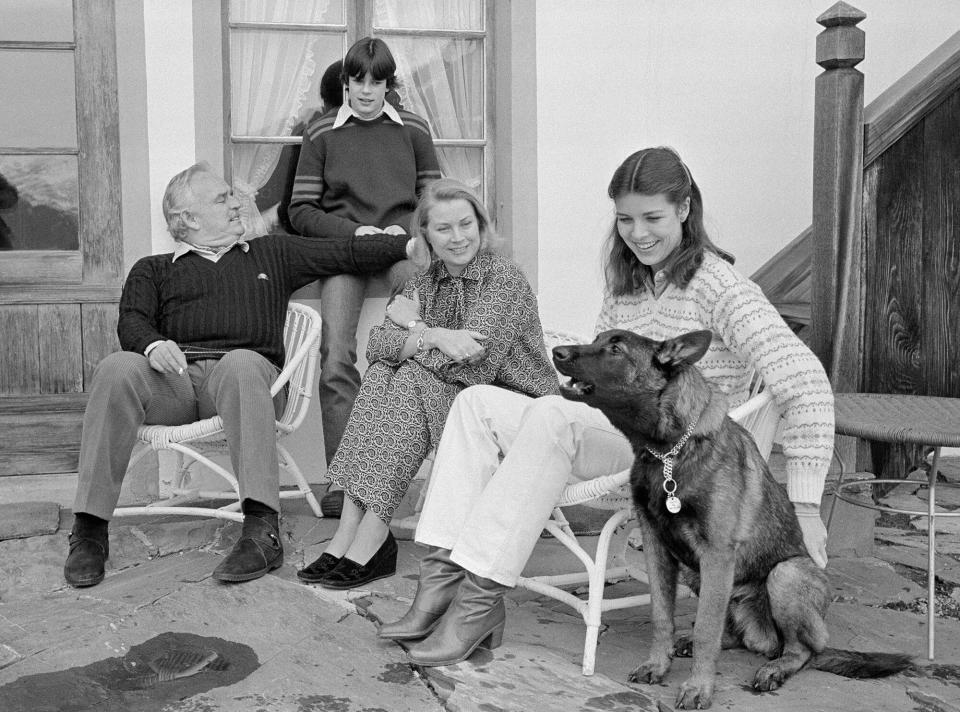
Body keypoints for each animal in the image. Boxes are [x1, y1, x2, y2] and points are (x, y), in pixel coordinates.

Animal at [552, 330, 912, 708]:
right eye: (599, 340)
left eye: (615, 349)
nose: (556, 352)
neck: (669, 454)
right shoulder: (657, 548)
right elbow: (662, 617)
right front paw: (658, 664)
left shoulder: (716, 554)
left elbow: (706, 628)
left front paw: (698, 687)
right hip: (698, 575)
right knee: (743, 637)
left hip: (785, 574)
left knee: (800, 650)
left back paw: (775, 668)